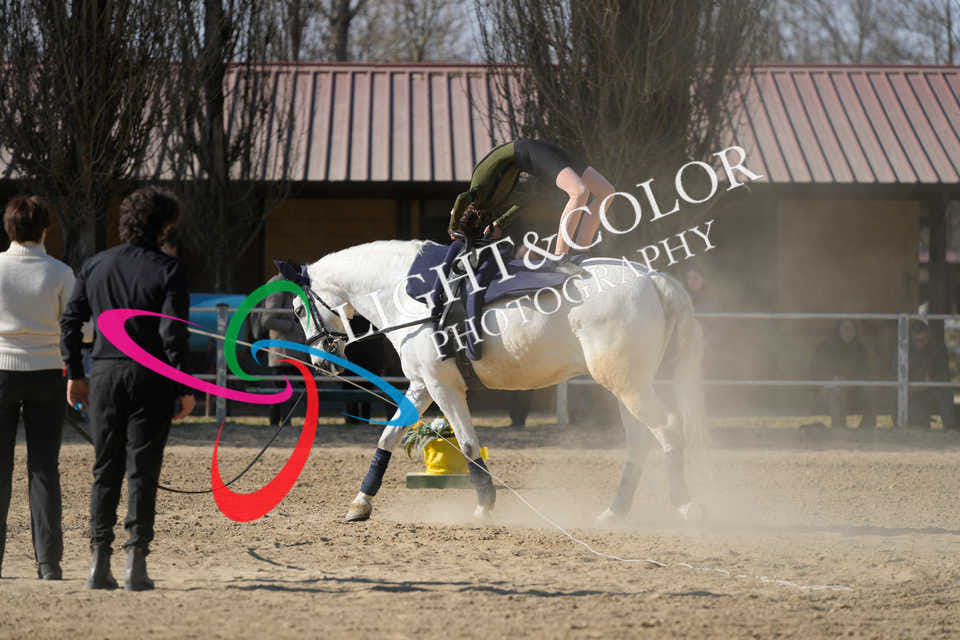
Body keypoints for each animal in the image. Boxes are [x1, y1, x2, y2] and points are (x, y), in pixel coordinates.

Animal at [284, 239, 705, 525]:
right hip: (627, 388)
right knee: (641, 444)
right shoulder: (421, 385)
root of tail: (651, 277)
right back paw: (614, 512)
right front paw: (361, 502)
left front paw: (484, 506)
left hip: (630, 388)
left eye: (299, 309)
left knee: (668, 431)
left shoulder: (444, 388)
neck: (405, 292)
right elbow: (386, 437)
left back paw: (686, 505)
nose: (321, 362)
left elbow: (469, 444)